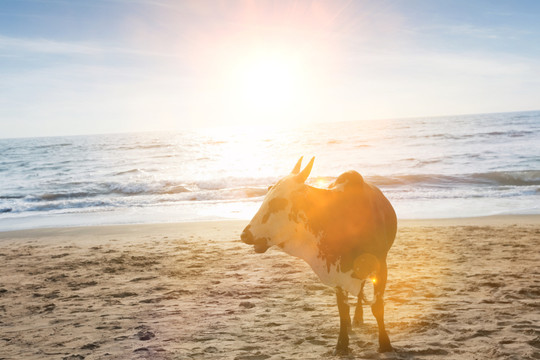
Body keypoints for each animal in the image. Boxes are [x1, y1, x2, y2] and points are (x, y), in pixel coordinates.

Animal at [240, 156, 396, 352]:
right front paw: (342, 344)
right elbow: (342, 309)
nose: (245, 234)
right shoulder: (337, 270)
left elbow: (377, 307)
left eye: (279, 202)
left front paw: (385, 343)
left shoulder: (381, 267)